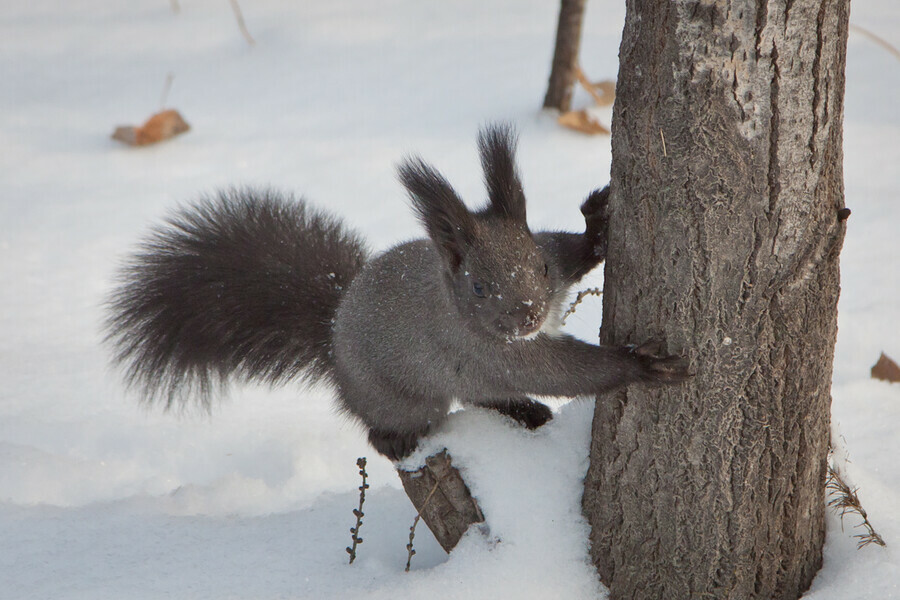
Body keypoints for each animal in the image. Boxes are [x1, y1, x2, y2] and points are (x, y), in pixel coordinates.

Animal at [107, 124, 688, 462]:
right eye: (480, 286)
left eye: (541, 268)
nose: (527, 315)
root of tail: (333, 337)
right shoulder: (482, 348)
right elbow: (560, 372)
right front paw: (640, 365)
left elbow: (572, 252)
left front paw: (597, 226)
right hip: (402, 397)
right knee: (392, 424)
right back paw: (395, 440)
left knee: (480, 395)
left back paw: (525, 413)